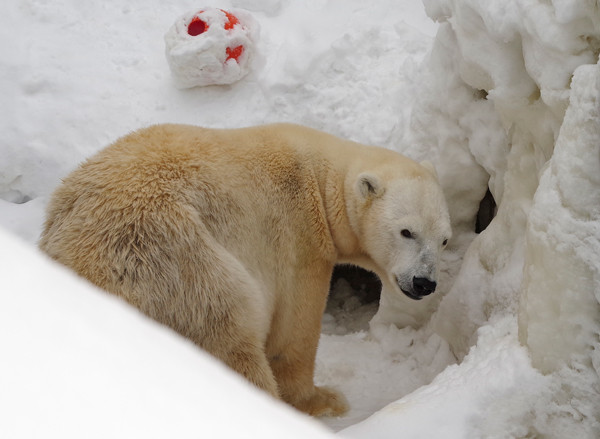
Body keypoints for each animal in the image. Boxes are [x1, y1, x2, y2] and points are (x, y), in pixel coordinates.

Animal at [38, 123, 450, 416]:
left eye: (444, 240)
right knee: (230, 335)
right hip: (181, 266)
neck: (319, 178)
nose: (424, 282)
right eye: (407, 231)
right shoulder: (298, 238)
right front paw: (324, 400)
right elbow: (293, 335)